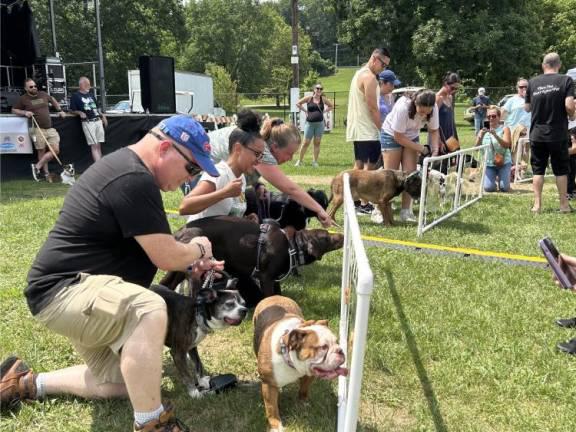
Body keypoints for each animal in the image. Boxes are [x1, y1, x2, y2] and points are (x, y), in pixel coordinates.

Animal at [159, 216, 342, 308]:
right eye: (327, 237)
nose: (341, 235)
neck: (291, 246)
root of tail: (179, 232)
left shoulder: (274, 279)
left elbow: (278, 295)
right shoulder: (266, 278)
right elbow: (269, 297)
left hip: (178, 268)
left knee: (165, 284)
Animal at [255, 296, 346, 432]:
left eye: (337, 342)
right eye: (323, 347)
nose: (340, 350)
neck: (289, 358)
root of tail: (274, 296)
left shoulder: (309, 374)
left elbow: (304, 388)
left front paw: (303, 402)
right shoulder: (268, 384)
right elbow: (271, 408)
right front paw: (276, 426)